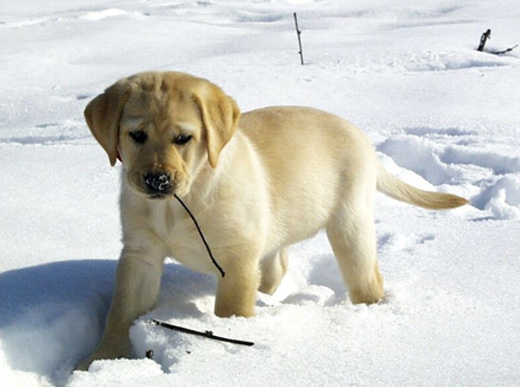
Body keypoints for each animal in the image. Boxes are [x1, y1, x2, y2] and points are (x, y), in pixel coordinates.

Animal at [79, 72, 470, 370]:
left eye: (183, 138)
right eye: (137, 135)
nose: (156, 180)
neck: (179, 203)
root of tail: (364, 142)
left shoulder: (236, 259)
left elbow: (229, 311)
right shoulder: (140, 254)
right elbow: (120, 312)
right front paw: (100, 361)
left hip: (349, 224)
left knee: (367, 280)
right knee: (276, 267)